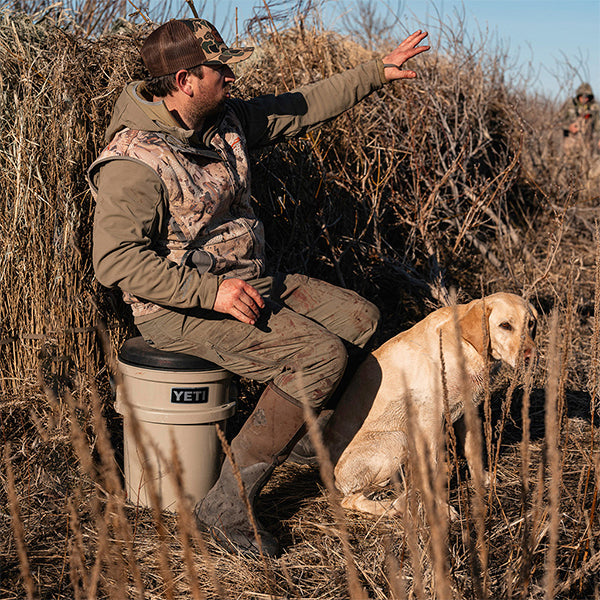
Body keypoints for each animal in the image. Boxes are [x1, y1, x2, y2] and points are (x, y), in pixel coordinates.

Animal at [326, 292, 536, 516]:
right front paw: (440, 509)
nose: (531, 356)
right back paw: (390, 507)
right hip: (398, 439)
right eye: (505, 325)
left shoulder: (469, 411)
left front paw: (482, 478)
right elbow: (432, 469)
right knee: (351, 499)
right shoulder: (431, 420)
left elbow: (472, 450)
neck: (464, 347)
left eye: (531, 323)